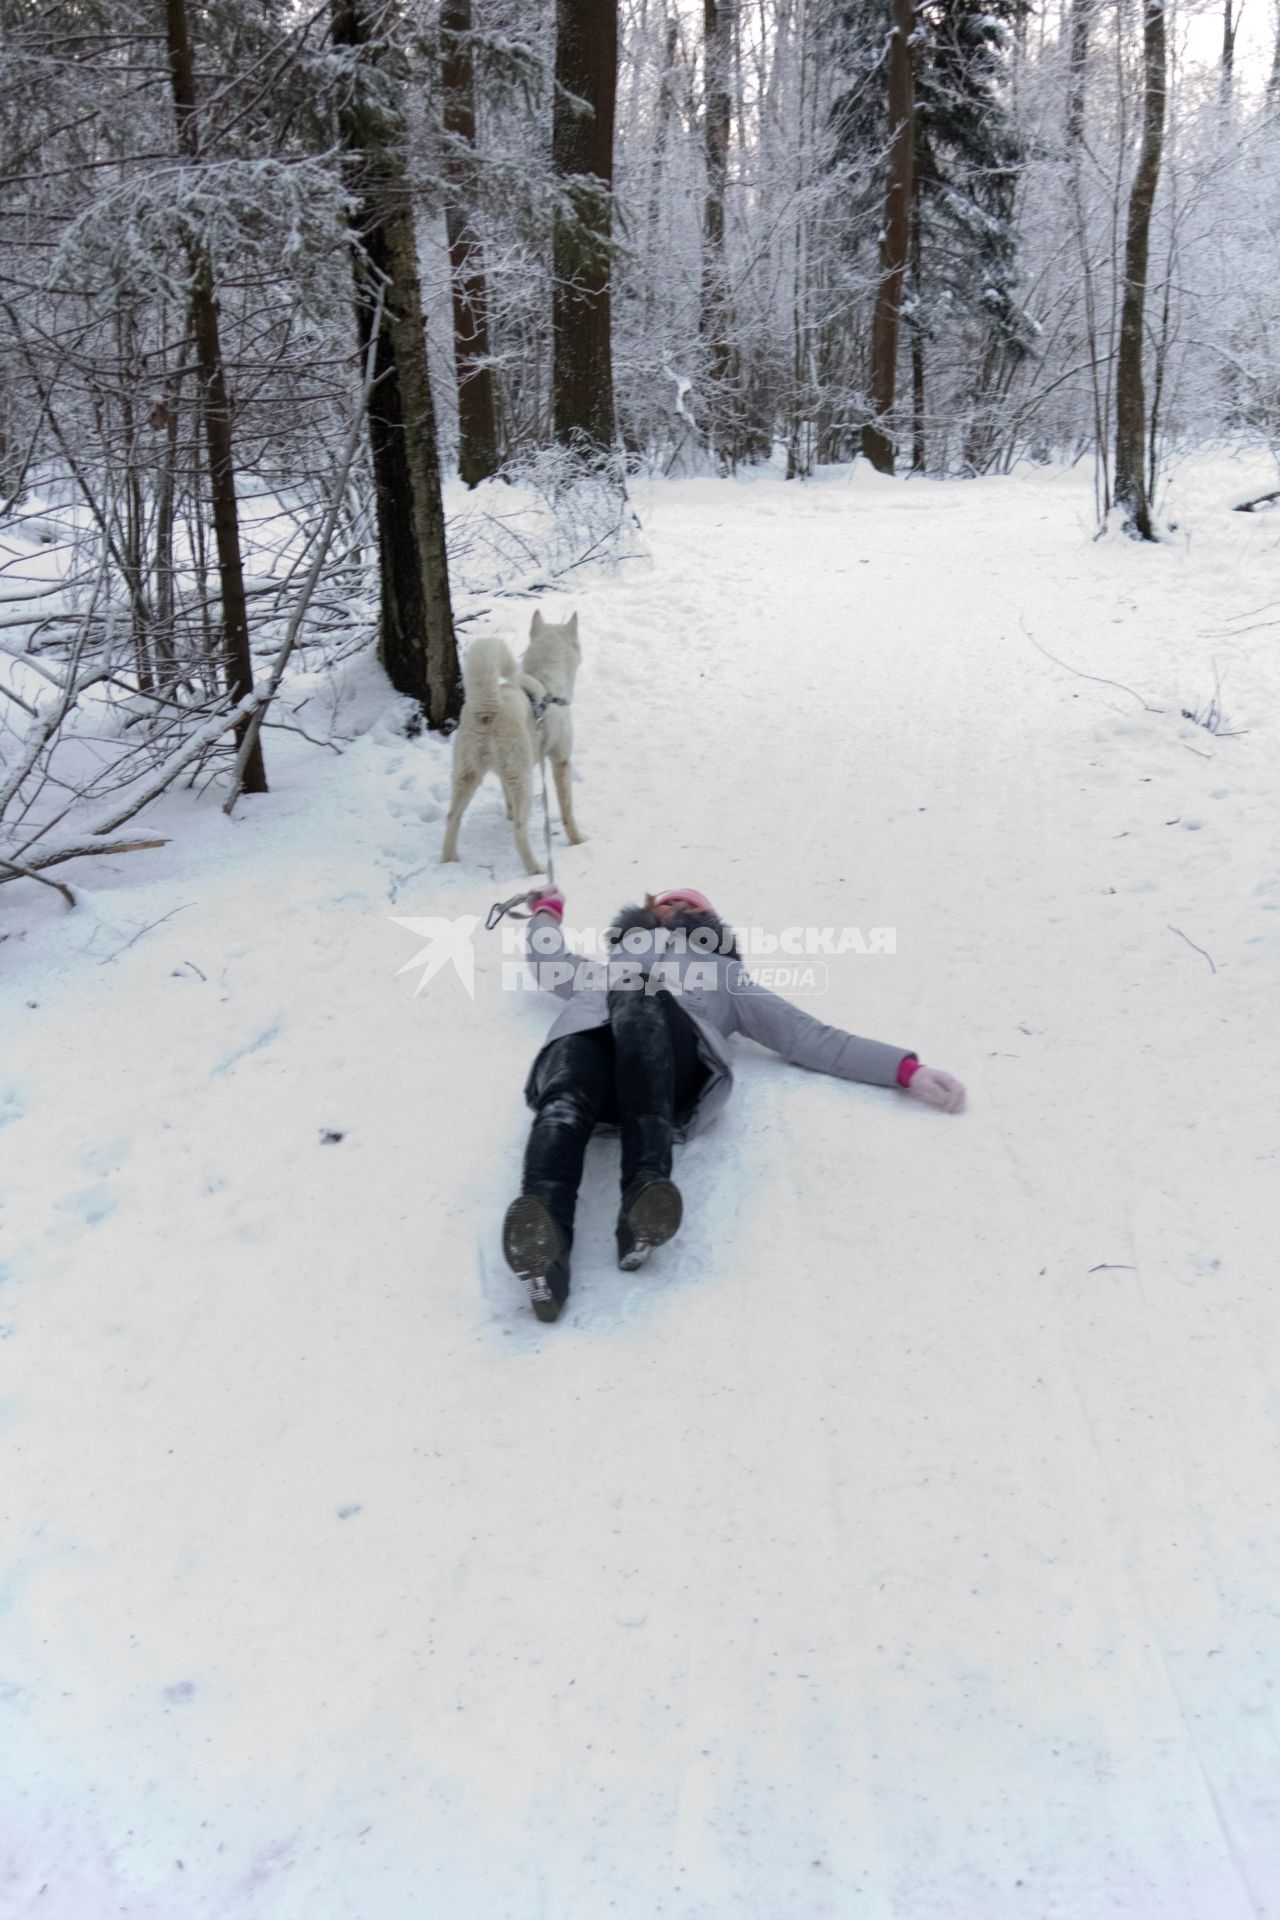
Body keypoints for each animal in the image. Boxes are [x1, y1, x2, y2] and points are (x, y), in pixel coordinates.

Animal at [437, 610, 583, 875]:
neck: (547, 682)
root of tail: (488, 707)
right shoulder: (561, 761)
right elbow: (567, 810)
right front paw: (577, 839)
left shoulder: (503, 774)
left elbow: (507, 803)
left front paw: (508, 813)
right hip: (523, 778)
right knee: (519, 829)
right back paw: (536, 869)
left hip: (467, 775)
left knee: (452, 816)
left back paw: (449, 860)